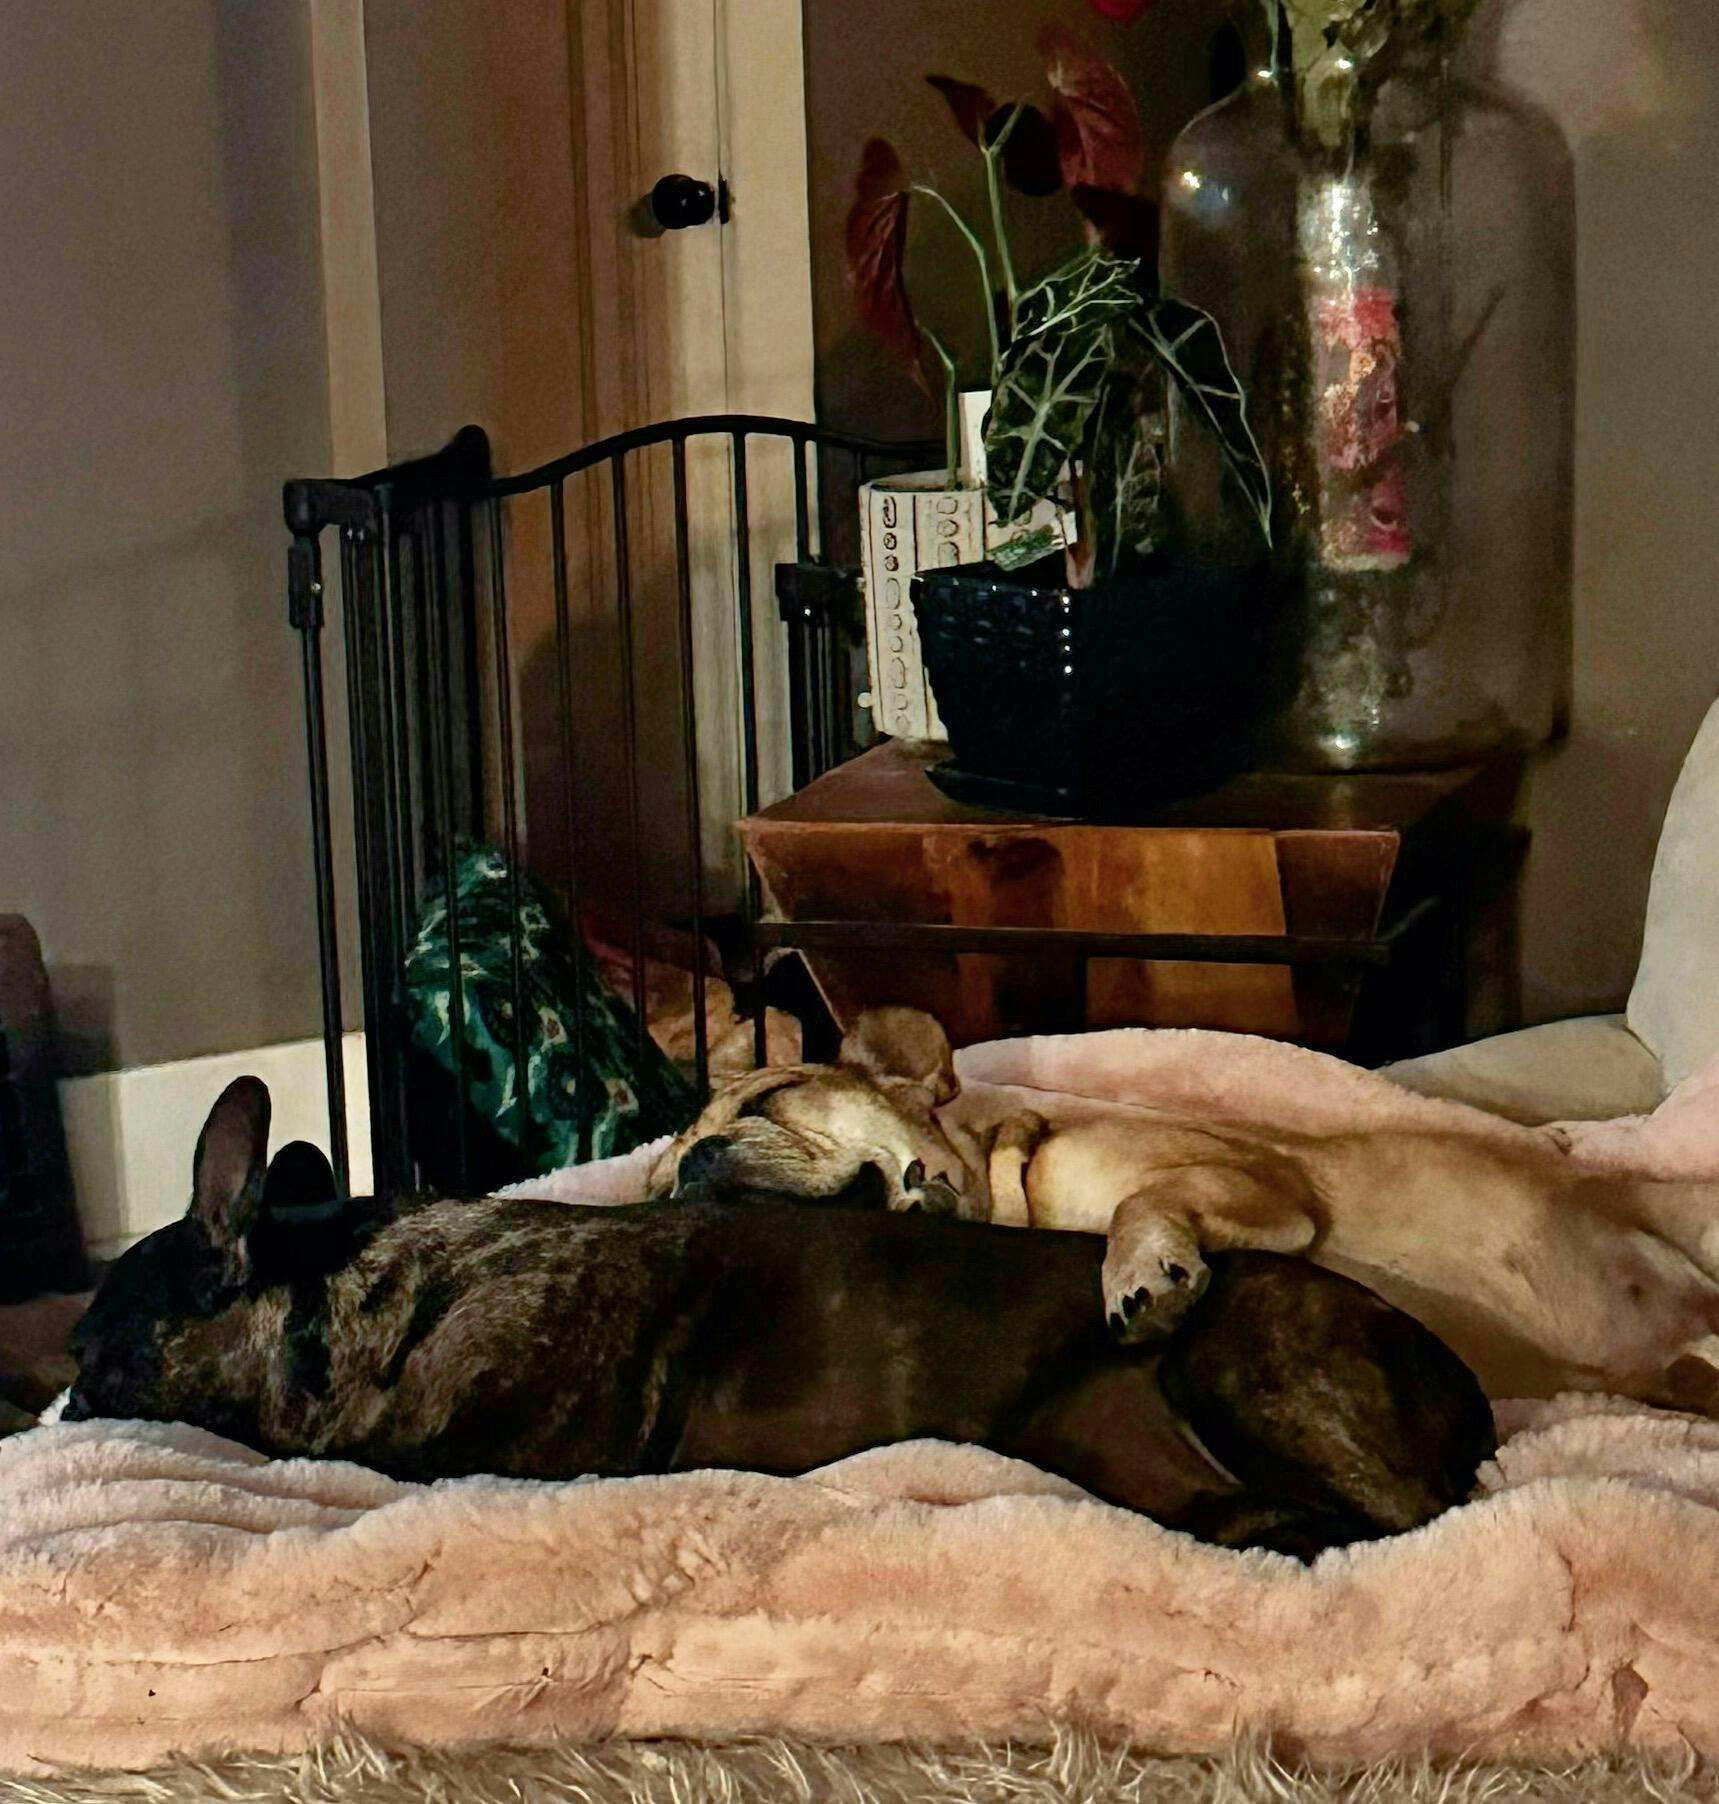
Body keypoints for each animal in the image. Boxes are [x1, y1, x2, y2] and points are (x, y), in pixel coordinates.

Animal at [656, 1008, 1719, 1413]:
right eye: (657, 1188)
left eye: (769, 1098)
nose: (694, 1166)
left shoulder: (1259, 1182)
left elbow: (1144, 1198)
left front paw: (1138, 1274)